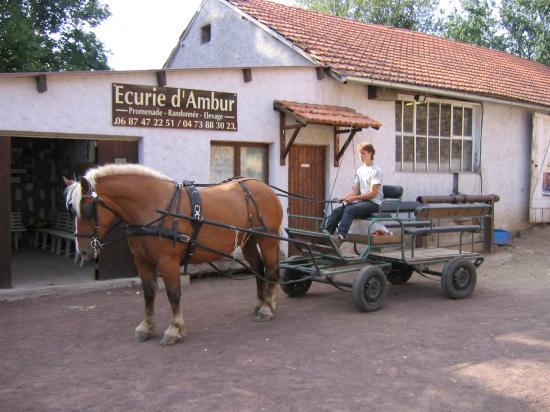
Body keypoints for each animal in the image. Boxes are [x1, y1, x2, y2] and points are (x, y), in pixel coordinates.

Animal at [63, 163, 284, 344]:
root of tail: (265, 188)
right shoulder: (142, 260)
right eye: (71, 210)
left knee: (271, 270)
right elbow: (149, 293)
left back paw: (268, 308)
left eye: (87, 209)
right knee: (258, 269)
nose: (83, 251)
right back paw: (260, 304)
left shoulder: (167, 261)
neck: (153, 207)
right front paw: (146, 327)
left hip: (267, 240)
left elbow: (173, 293)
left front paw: (175, 330)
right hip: (249, 241)